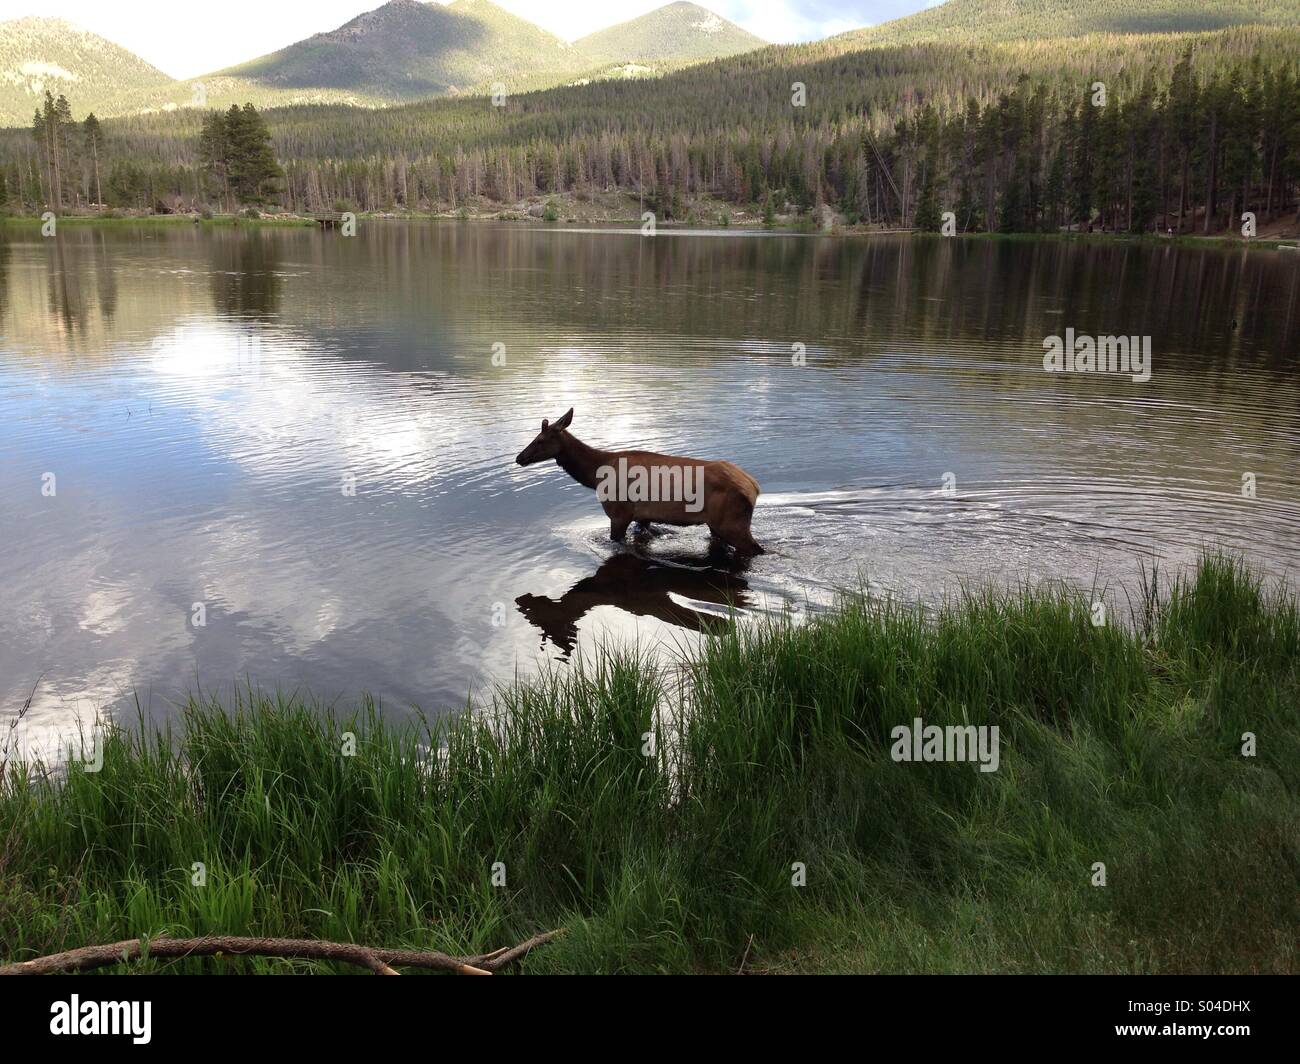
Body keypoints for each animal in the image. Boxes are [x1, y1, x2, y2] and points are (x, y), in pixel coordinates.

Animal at [515, 408, 764, 555]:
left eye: (540, 440)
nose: (519, 457)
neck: (595, 476)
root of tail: (754, 487)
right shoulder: (643, 517)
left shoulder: (619, 513)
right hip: (717, 525)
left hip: (732, 523)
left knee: (756, 549)